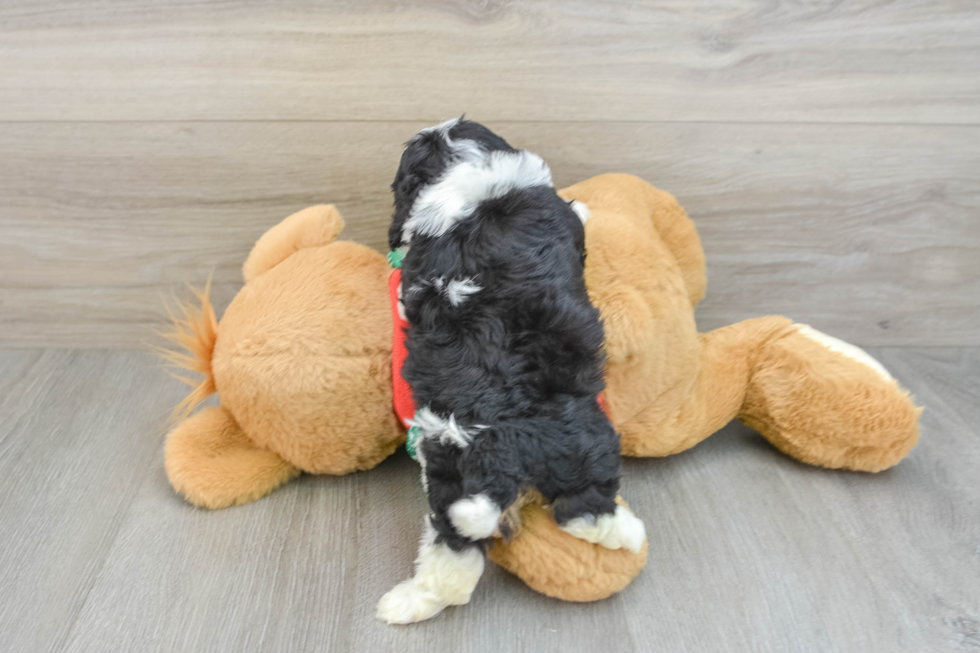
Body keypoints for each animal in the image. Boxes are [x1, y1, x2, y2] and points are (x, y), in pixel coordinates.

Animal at [376, 119, 644, 624]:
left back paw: (405, 604)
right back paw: (629, 534)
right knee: (581, 510)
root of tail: (506, 444)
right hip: (582, 446)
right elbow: (576, 218)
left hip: (460, 472)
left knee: (456, 552)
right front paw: (585, 206)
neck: (465, 171)